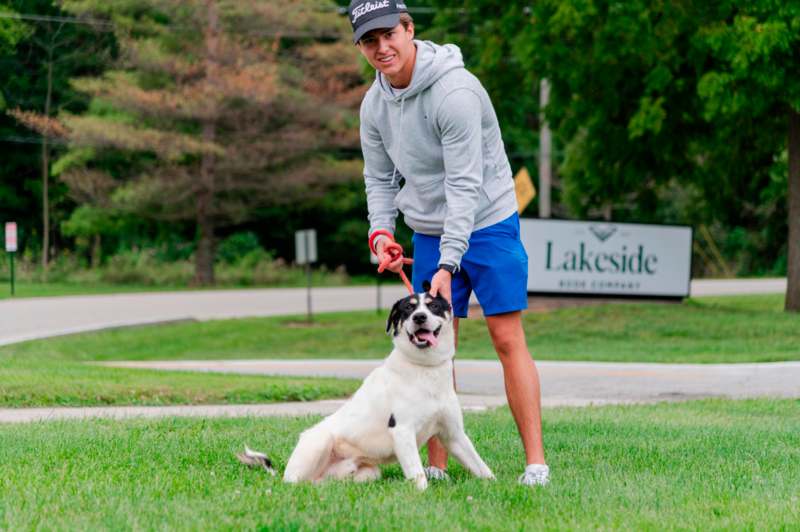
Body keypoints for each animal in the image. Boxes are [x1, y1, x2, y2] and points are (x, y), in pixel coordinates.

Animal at [241, 282, 494, 490]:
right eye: (408, 309)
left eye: (433, 306)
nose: (420, 317)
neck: (425, 368)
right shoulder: (402, 431)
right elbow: (418, 475)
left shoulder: (454, 435)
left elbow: (482, 467)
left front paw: (497, 486)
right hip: (319, 444)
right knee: (294, 482)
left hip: (368, 473)